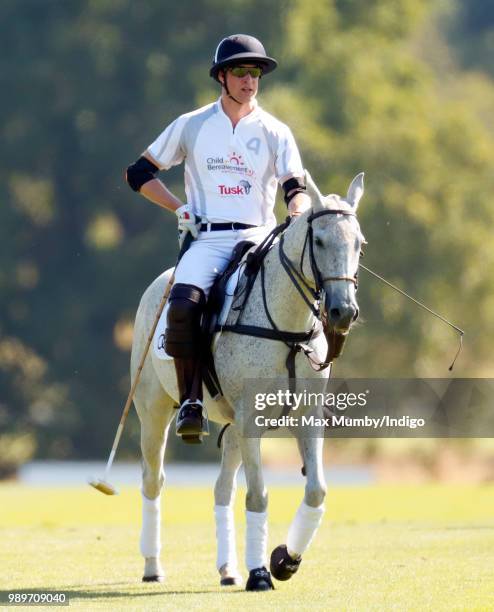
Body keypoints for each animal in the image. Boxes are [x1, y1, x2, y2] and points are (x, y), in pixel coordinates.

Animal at [129, 170, 364, 592]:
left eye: (360, 245)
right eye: (319, 240)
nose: (342, 312)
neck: (289, 328)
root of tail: (162, 281)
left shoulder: (305, 418)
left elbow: (316, 491)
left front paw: (285, 560)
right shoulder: (252, 419)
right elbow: (258, 496)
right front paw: (260, 574)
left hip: (231, 423)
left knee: (222, 487)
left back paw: (227, 569)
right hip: (153, 409)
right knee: (153, 479)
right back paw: (153, 567)